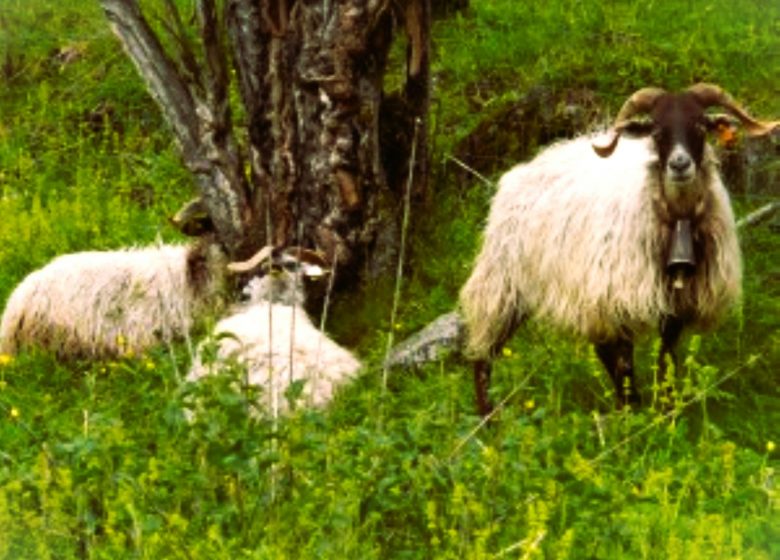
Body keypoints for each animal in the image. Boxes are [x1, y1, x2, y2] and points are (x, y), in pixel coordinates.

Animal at [460, 84, 776, 416]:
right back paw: (488, 417)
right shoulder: (618, 300)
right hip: (503, 283)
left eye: (701, 125)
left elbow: (666, 361)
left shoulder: (675, 307)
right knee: (483, 355)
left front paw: (664, 412)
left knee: (600, 349)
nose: (679, 165)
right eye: (657, 131)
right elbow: (625, 367)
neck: (677, 218)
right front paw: (632, 415)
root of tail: (521, 170)